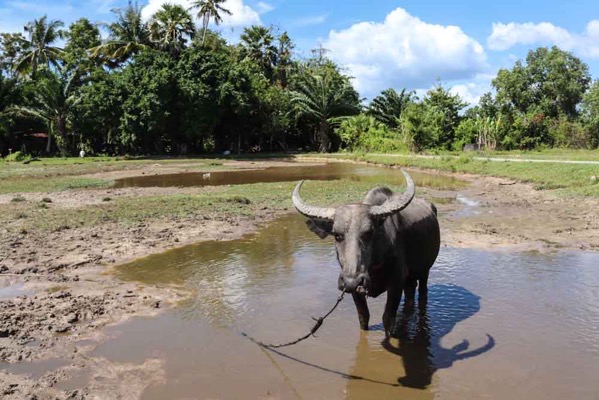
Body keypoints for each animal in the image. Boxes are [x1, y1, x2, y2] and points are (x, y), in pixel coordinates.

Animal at [292, 170, 440, 336]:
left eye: (368, 233)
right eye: (337, 235)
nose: (352, 281)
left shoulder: (396, 284)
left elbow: (388, 319)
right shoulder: (355, 291)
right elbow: (363, 317)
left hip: (425, 270)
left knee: (422, 293)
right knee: (410, 295)